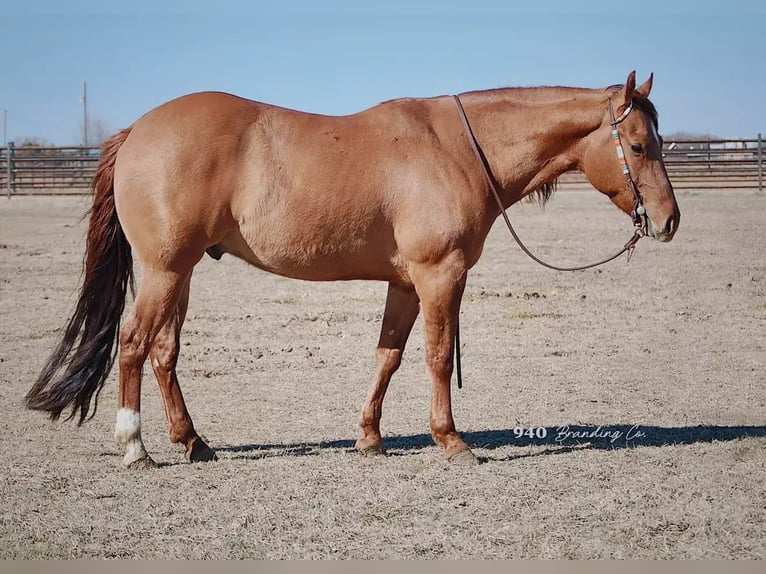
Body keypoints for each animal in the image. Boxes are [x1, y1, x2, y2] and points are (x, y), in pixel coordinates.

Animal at [26, 71, 680, 468]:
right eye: (639, 145)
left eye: (660, 140)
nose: (669, 220)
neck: (459, 150)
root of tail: (138, 130)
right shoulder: (440, 275)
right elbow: (437, 356)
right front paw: (452, 441)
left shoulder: (405, 282)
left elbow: (388, 355)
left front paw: (370, 437)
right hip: (164, 271)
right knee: (134, 344)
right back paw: (135, 446)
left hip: (180, 274)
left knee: (164, 351)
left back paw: (193, 441)